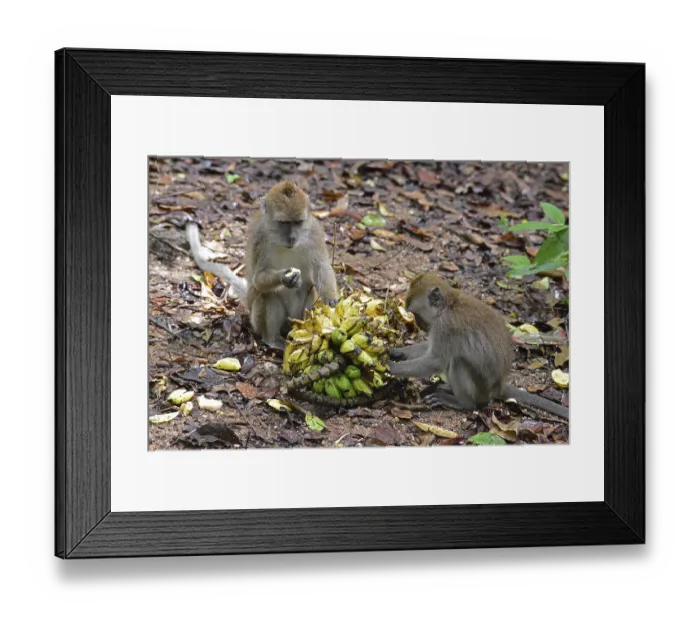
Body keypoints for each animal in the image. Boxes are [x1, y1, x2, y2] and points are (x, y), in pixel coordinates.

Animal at [187, 180, 338, 350]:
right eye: (284, 223)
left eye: (298, 222)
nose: (292, 238)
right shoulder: (260, 238)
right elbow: (258, 279)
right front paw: (285, 278)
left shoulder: (314, 232)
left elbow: (322, 266)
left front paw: (330, 299)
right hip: (256, 320)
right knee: (267, 294)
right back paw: (272, 339)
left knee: (307, 288)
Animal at [389, 274, 569, 420]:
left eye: (416, 314)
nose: (420, 326)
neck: (448, 305)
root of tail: (499, 388)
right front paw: (396, 353)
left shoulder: (446, 326)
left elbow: (435, 361)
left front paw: (390, 367)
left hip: (481, 391)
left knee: (458, 362)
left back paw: (462, 403)